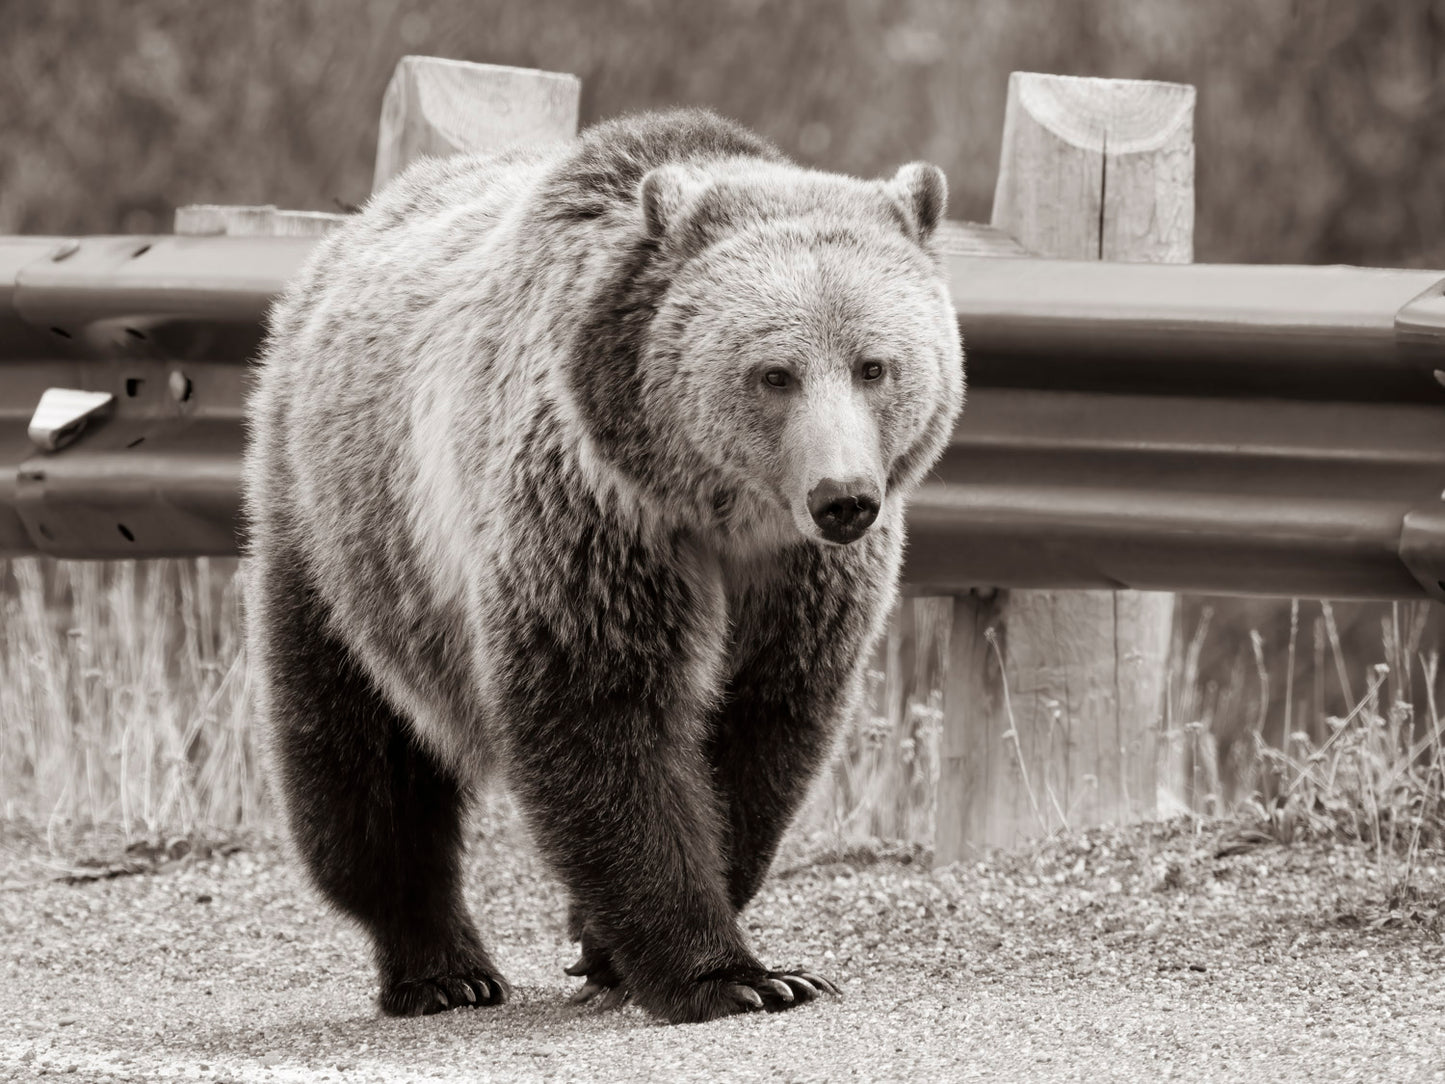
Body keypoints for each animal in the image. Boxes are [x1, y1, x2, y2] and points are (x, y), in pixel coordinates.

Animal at [242, 108, 964, 1025]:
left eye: (874, 364)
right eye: (774, 373)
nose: (844, 498)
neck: (722, 513)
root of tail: (349, 231)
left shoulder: (800, 581)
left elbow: (760, 730)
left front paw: (615, 944)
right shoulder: (596, 516)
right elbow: (603, 708)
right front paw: (730, 976)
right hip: (348, 531)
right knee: (359, 751)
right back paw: (442, 967)